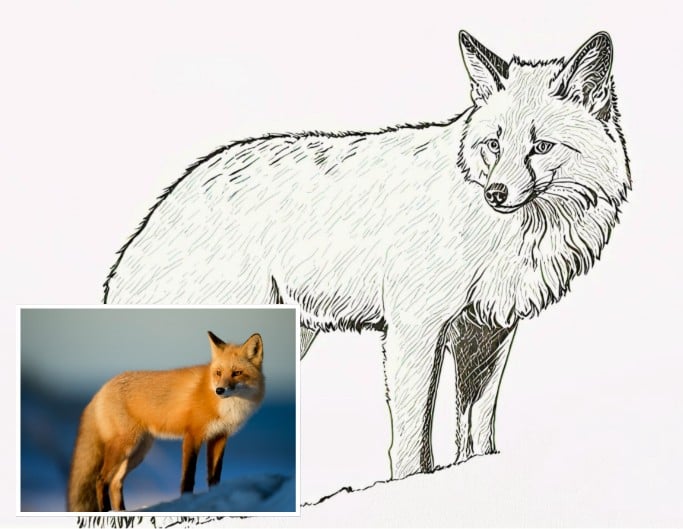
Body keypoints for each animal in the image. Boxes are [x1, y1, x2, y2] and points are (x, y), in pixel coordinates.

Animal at [67, 331, 265, 512]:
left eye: (237, 373)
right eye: (218, 373)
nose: (220, 390)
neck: (227, 407)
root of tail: (102, 389)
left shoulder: (219, 437)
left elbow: (214, 477)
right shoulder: (192, 435)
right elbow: (188, 477)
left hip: (138, 452)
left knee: (115, 483)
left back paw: (121, 512)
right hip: (125, 446)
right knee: (100, 480)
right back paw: (107, 511)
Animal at [103, 31, 630, 481]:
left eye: (541, 147)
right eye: (493, 145)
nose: (496, 194)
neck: (517, 231)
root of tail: (157, 213)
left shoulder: (487, 335)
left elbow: (477, 432)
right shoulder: (415, 331)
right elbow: (412, 445)